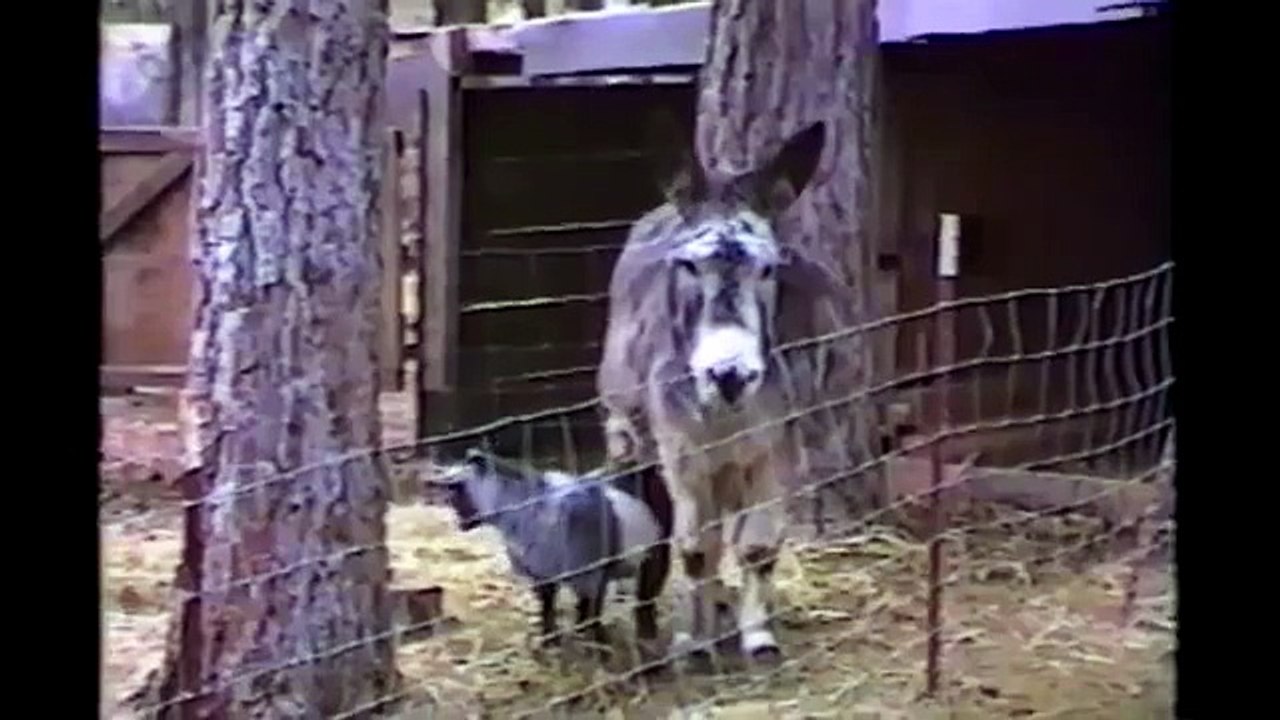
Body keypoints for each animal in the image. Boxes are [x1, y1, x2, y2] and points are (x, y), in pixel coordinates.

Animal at [441, 448, 672, 653]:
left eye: (457, 489)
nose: (458, 521)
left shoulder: (589, 576)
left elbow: (590, 612)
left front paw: (598, 647)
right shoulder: (542, 577)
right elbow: (549, 609)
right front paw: (550, 643)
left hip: (657, 548)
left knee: (647, 593)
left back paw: (645, 634)